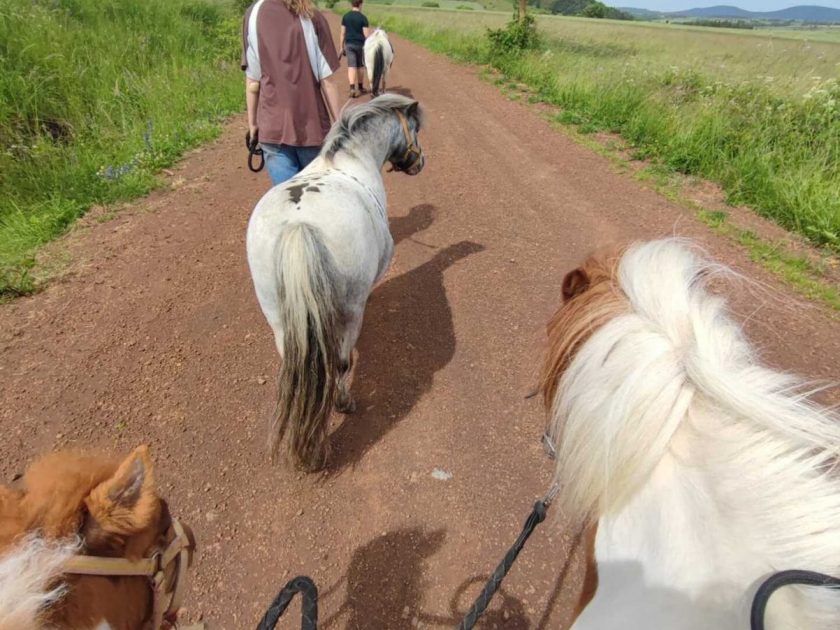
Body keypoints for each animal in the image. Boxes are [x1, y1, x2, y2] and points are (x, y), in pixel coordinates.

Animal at [246, 94, 424, 472]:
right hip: (349, 308)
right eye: (415, 128)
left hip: (276, 314)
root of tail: (299, 224)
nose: (420, 162)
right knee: (340, 361)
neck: (352, 158)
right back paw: (344, 403)